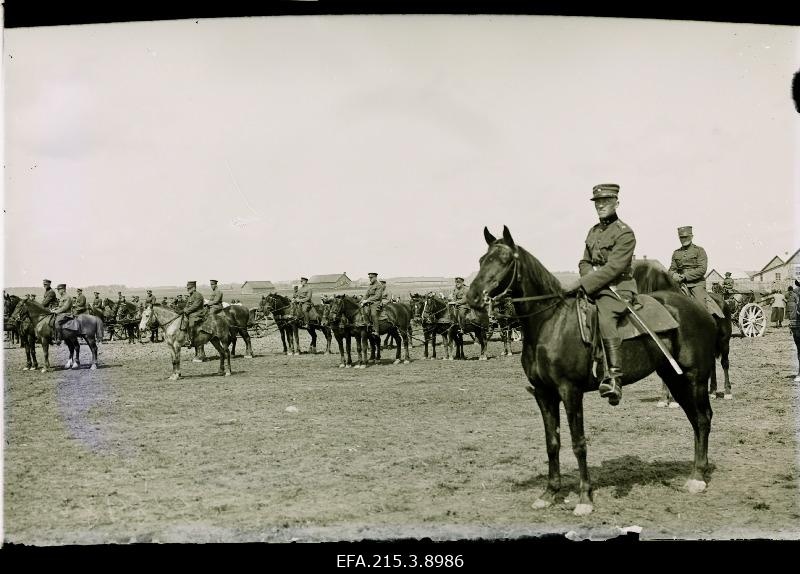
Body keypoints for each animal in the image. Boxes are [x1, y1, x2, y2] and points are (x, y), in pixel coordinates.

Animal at [466, 227, 716, 516]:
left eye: (505, 260)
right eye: (481, 259)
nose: (472, 298)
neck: (550, 322)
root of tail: (700, 308)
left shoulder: (570, 391)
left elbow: (578, 443)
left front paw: (585, 498)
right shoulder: (543, 394)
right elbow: (552, 443)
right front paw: (549, 493)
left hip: (695, 378)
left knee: (703, 419)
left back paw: (698, 478)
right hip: (674, 378)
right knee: (695, 420)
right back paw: (697, 470)